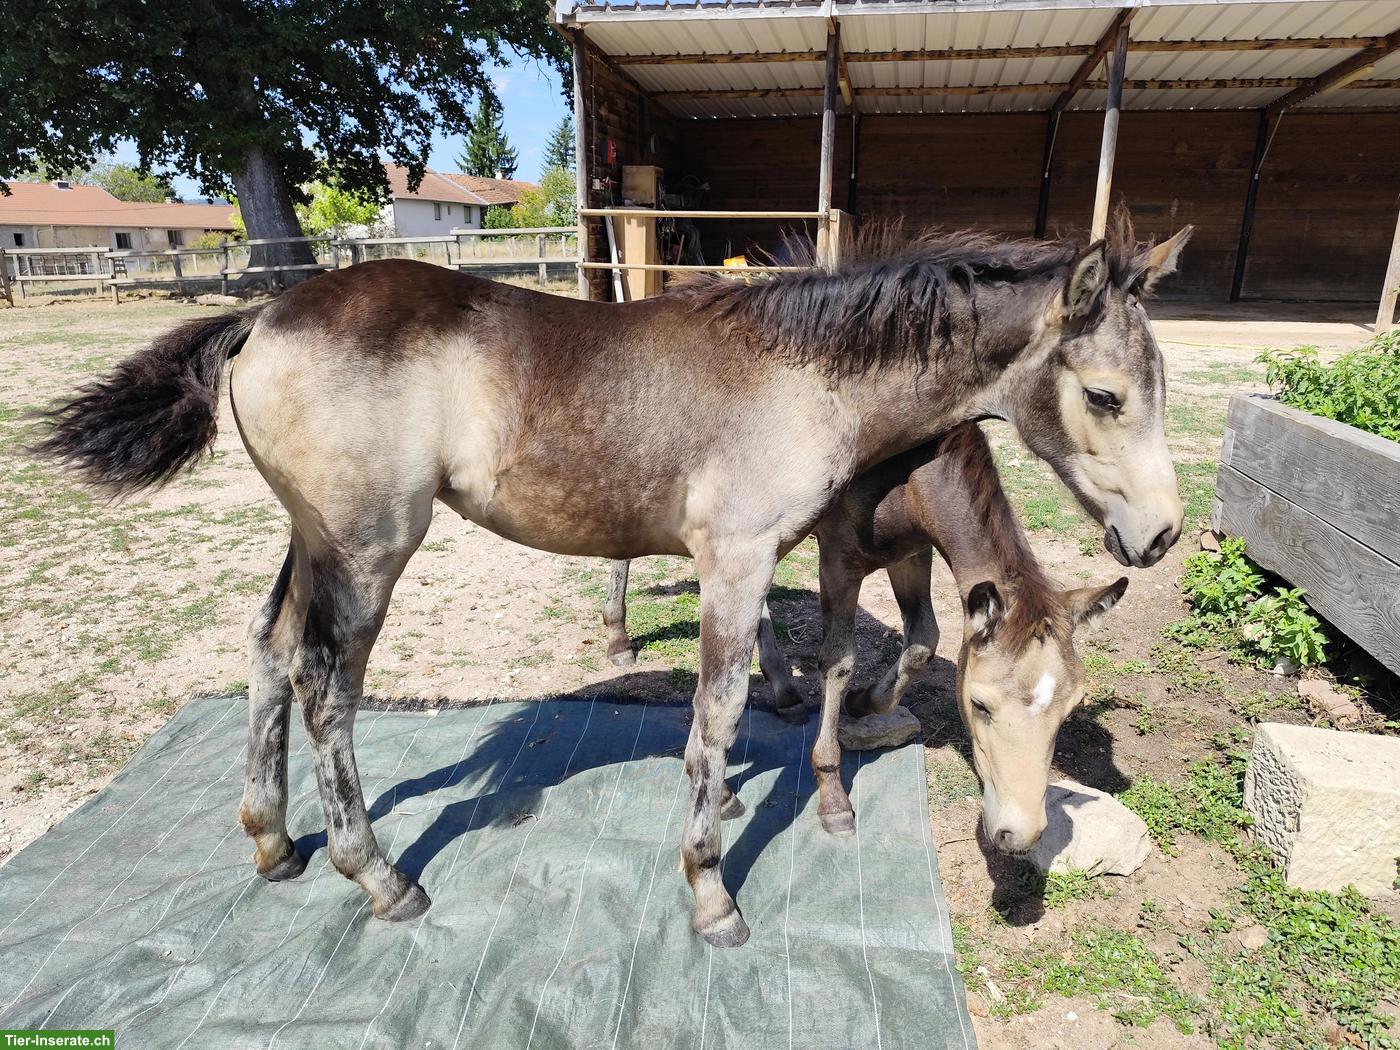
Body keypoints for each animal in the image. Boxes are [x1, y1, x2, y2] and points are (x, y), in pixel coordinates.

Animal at [602, 422, 1128, 853]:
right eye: (980, 704)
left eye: (1069, 710)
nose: (1020, 835)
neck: (908, 473)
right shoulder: (839, 560)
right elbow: (838, 661)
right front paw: (833, 798)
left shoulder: (911, 553)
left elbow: (924, 640)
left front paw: (863, 702)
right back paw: (618, 639)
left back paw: (784, 691)